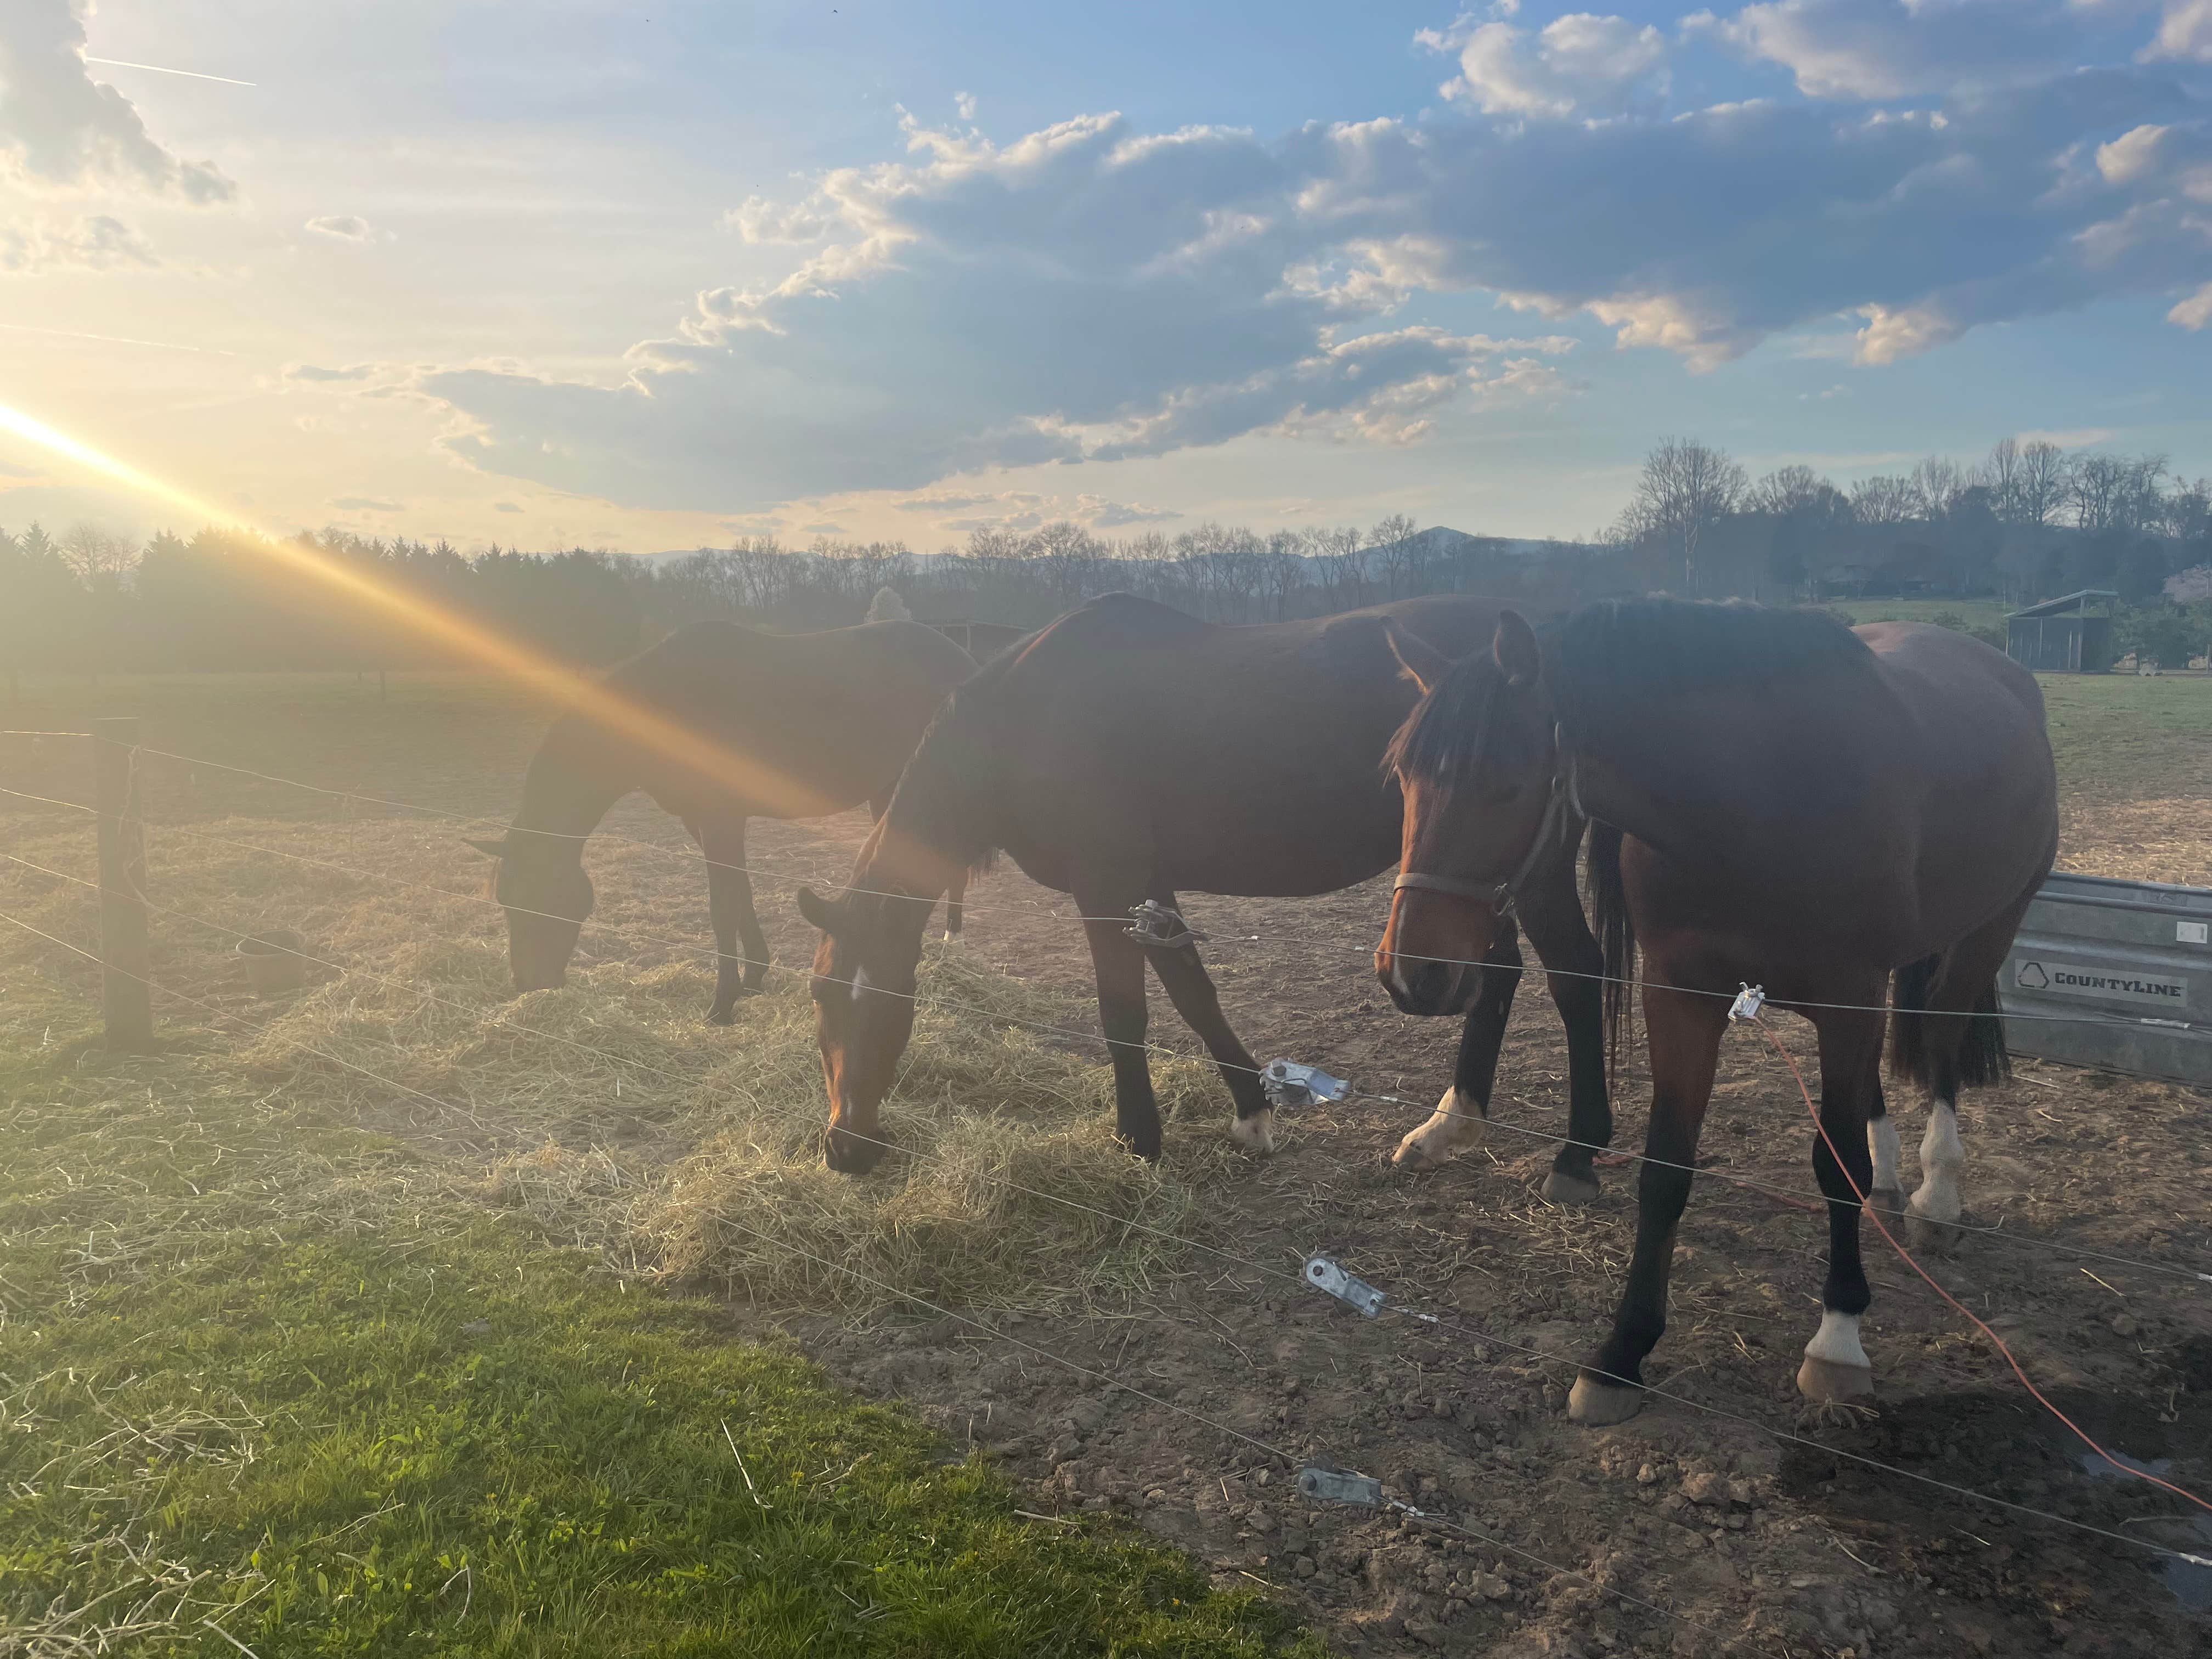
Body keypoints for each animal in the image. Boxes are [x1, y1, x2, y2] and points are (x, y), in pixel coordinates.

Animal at [468, 605, 978, 1023]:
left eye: (535, 897)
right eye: (504, 901)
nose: (529, 983)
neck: (665, 706)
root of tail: (962, 659)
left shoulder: (720, 819)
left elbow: (721, 906)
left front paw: (722, 1004)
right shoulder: (702, 821)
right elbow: (740, 891)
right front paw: (753, 978)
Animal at [795, 591, 1613, 1180]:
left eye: (883, 1001)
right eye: (822, 995)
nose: (845, 1148)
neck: (1024, 723)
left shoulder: (1105, 886)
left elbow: (1123, 1012)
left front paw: (1137, 1138)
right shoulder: (1149, 886)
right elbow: (1192, 991)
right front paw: (1252, 1112)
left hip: (1529, 873)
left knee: (1576, 974)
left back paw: (1577, 1153)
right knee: (1496, 974)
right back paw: (1448, 1127)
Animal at [1376, 598, 2057, 1423]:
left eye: (1504, 783)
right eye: (1403, 775)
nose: (1412, 973)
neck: (1756, 795)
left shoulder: (1849, 1000)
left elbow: (1834, 1165)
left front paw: (1838, 1339)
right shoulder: (1681, 997)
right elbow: (1667, 1168)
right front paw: (1621, 1354)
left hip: (1988, 933)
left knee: (1944, 1045)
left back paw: (1937, 1194)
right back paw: (1894, 1184)